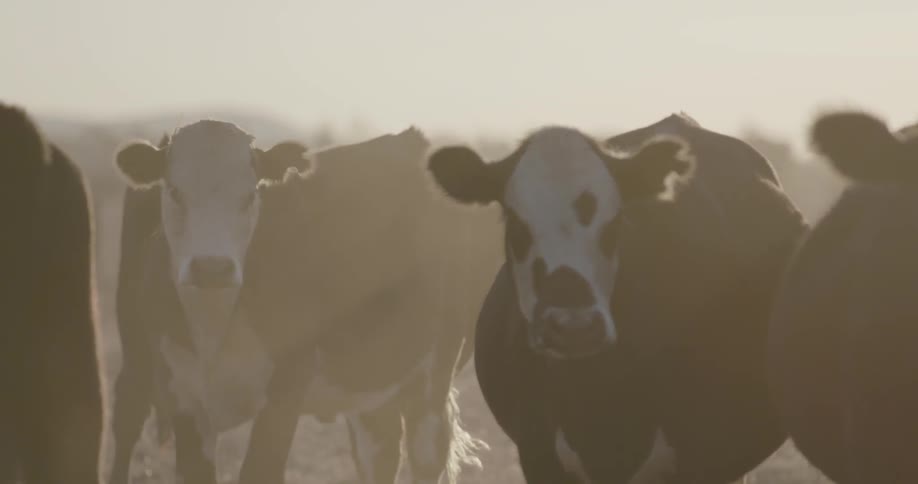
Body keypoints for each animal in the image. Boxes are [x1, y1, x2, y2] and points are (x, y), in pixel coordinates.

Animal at [108, 120, 486, 484]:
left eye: (251, 194)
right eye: (174, 191)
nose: (212, 267)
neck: (214, 324)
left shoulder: (285, 391)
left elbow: (260, 471)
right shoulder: (185, 397)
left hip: (430, 376)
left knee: (425, 452)